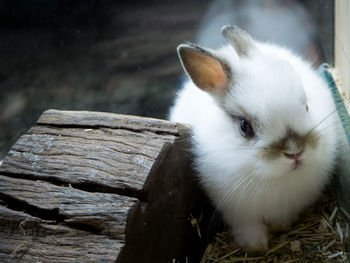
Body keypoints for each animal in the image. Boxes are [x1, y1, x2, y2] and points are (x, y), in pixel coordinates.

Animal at [169, 25, 340, 253]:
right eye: (245, 127)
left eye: (306, 106)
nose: (295, 152)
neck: (275, 180)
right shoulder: (238, 212)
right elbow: (248, 227)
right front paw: (256, 246)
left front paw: (280, 227)